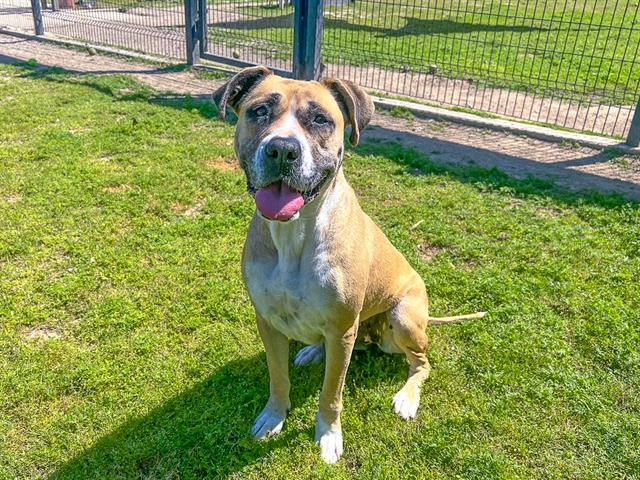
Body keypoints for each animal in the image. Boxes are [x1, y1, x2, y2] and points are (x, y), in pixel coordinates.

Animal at [211, 65, 484, 464]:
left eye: (320, 120)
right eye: (259, 111)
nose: (282, 149)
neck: (294, 235)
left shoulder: (342, 333)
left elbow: (331, 394)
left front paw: (328, 435)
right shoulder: (268, 322)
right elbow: (278, 378)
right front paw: (273, 416)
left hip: (402, 320)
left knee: (421, 362)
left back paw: (407, 398)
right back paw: (312, 350)